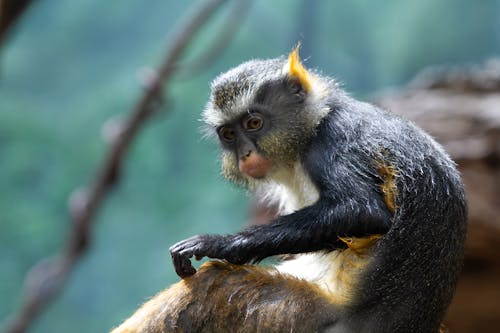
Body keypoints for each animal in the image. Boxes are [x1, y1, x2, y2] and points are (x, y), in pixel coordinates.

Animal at [111, 47, 466, 332]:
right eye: (229, 134)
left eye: (253, 123)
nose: (245, 154)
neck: (314, 123)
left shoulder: (334, 139)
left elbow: (363, 211)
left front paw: (218, 243)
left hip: (294, 316)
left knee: (217, 284)